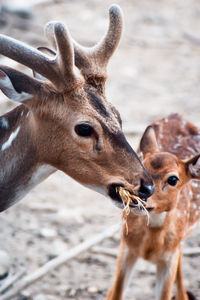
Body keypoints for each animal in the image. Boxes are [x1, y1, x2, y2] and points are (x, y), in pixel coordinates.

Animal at [107, 113, 200, 300]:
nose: (139, 195)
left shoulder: (169, 258)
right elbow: (117, 294)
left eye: (173, 179)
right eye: (142, 164)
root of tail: (177, 115)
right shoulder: (126, 247)